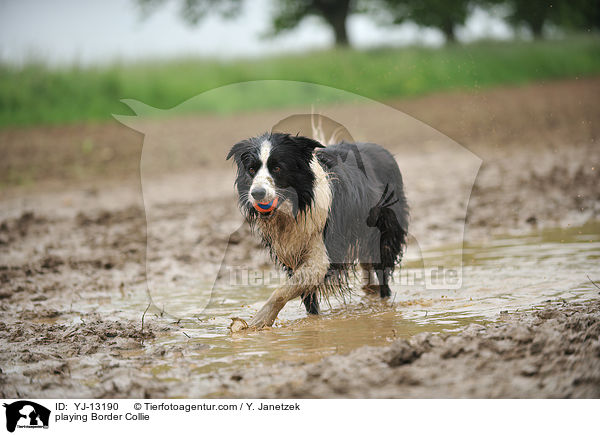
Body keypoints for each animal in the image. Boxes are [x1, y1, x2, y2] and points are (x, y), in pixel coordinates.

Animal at [225, 133, 408, 330]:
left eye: (277, 168)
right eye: (251, 169)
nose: (257, 194)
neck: (293, 209)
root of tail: (384, 151)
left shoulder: (319, 247)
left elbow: (285, 289)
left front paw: (255, 323)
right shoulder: (291, 252)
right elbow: (305, 295)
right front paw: (311, 320)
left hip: (385, 228)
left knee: (383, 270)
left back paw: (383, 302)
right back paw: (370, 289)